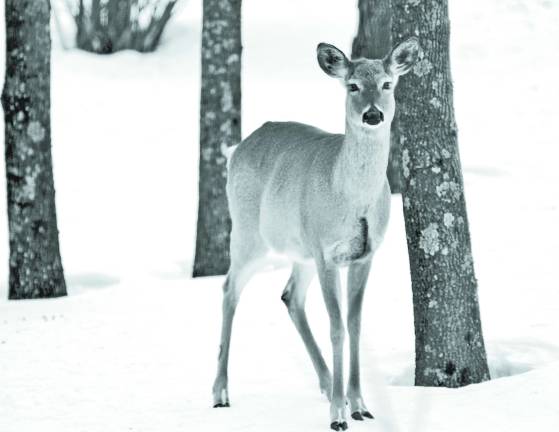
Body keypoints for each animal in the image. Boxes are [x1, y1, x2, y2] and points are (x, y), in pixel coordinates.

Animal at [211, 38, 420, 432]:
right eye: (352, 85)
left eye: (387, 84)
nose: (373, 115)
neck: (352, 197)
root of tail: (237, 148)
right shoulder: (327, 253)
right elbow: (336, 326)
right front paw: (338, 415)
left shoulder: (364, 254)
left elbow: (355, 324)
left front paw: (359, 404)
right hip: (249, 234)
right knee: (229, 289)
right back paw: (220, 392)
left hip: (300, 251)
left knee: (290, 295)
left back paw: (325, 383)